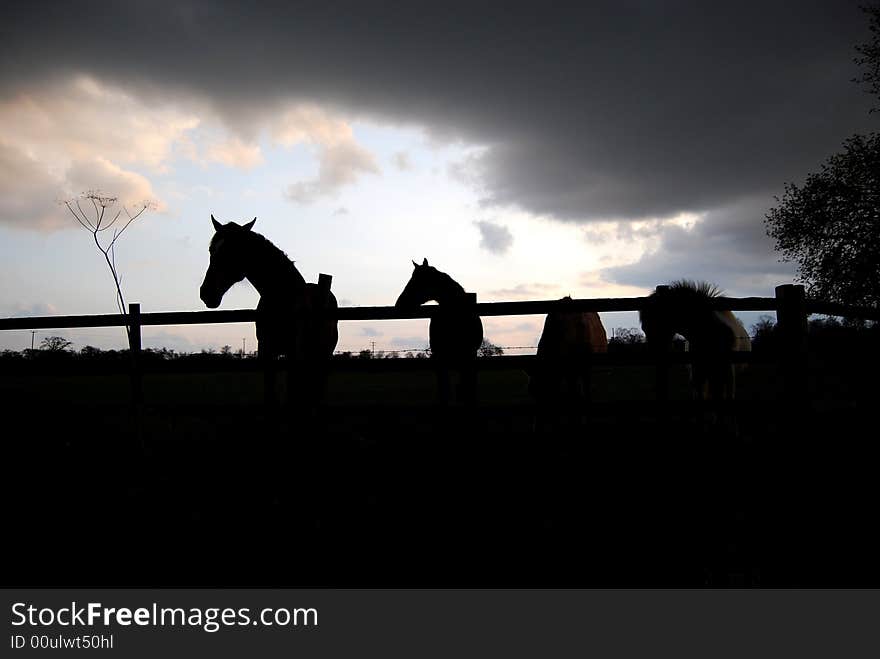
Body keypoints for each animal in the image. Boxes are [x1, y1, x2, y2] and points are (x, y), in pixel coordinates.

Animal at [201, 215, 338, 408]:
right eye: (211, 250)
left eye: (232, 251)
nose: (206, 293)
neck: (283, 299)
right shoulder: (266, 351)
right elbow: (270, 394)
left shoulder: (294, 354)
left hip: (322, 356)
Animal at [524, 296, 608, 430]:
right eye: (532, 391)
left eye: (547, 389)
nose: (537, 426)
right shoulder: (564, 372)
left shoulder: (575, 369)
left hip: (585, 369)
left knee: (585, 392)